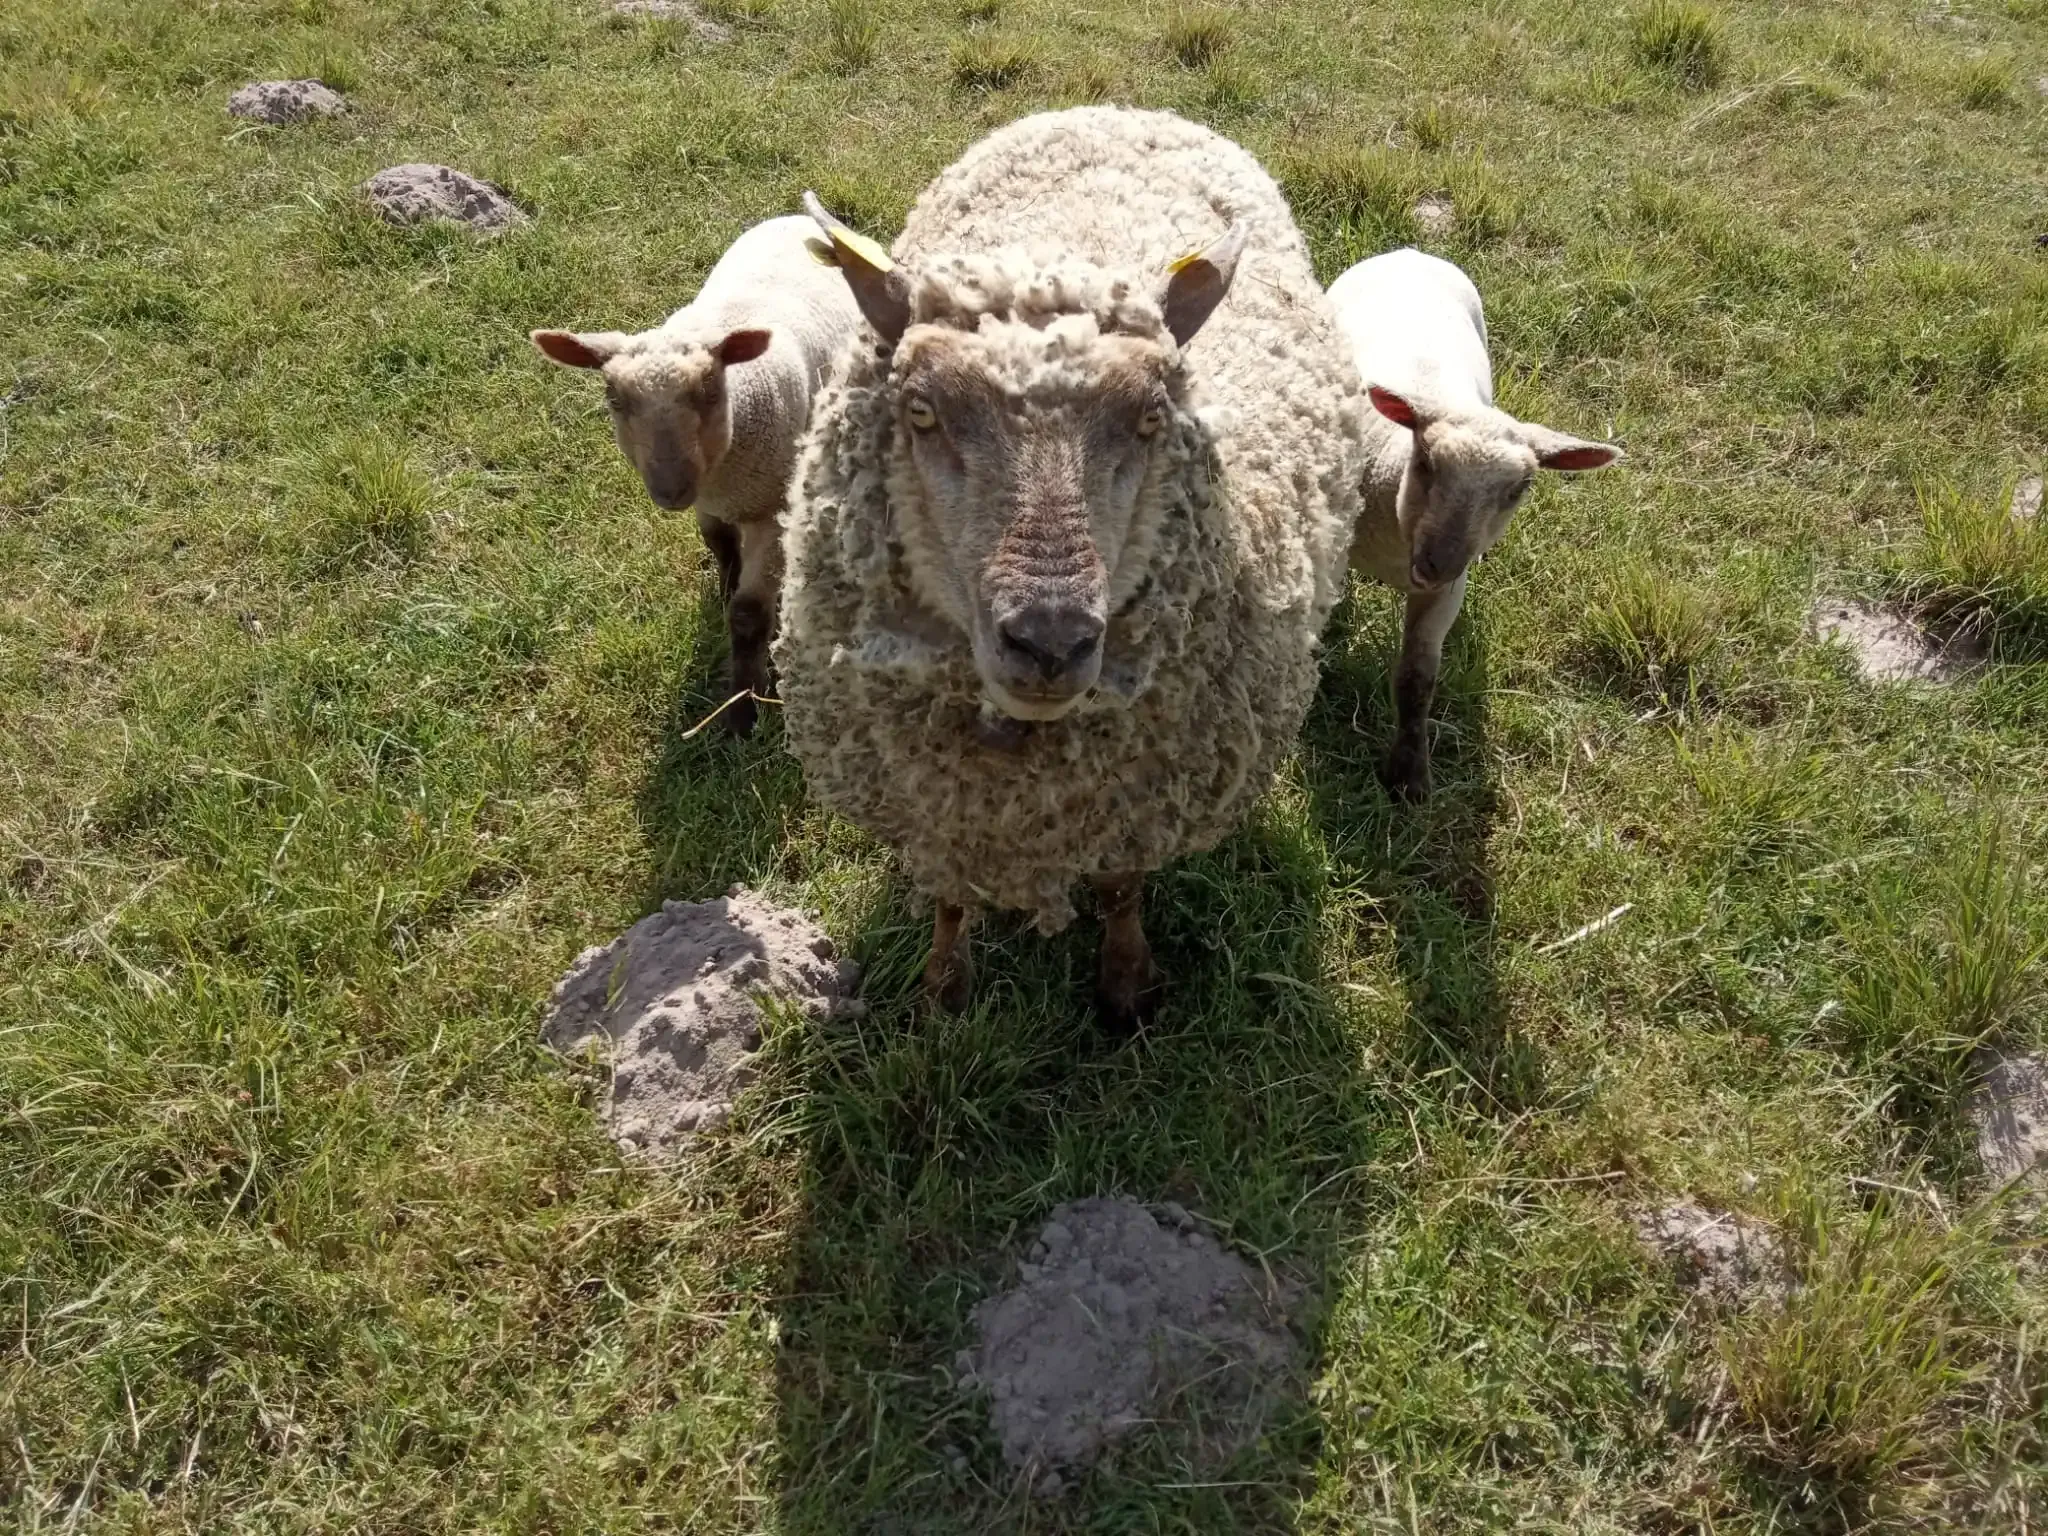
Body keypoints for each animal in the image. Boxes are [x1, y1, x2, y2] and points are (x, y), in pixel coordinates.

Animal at [531, 214, 863, 734]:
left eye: (709, 390)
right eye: (614, 398)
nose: (669, 489)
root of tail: (796, 216)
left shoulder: (771, 509)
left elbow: (748, 616)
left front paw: (742, 710)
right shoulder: (710, 501)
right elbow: (718, 544)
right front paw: (724, 587)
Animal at [776, 107, 1366, 1027]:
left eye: (1152, 417)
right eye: (921, 411)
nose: (1050, 642)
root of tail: (1126, 109)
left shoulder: (1135, 809)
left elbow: (1122, 889)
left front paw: (1126, 988)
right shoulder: (937, 819)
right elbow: (950, 898)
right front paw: (945, 991)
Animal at [1328, 247, 1622, 799]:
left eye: (1520, 488)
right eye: (1425, 461)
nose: (1439, 562)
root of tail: (1410, 252)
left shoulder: (1446, 593)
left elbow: (1416, 679)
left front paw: (1409, 777)